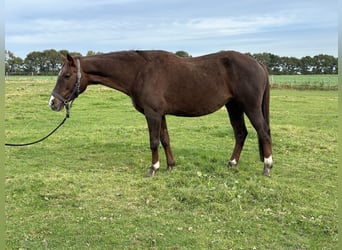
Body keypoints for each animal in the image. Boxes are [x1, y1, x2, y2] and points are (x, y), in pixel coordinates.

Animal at [48, 50, 272, 176]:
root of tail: (258, 63)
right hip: (233, 106)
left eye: (66, 75)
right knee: (241, 133)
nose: (53, 103)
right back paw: (232, 164)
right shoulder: (161, 114)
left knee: (263, 132)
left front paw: (153, 168)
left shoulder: (153, 113)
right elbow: (165, 139)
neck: (140, 72)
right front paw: (170, 166)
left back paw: (267, 167)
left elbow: (154, 141)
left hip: (250, 107)